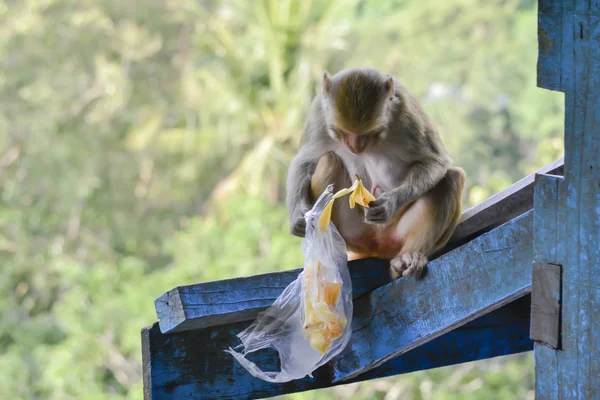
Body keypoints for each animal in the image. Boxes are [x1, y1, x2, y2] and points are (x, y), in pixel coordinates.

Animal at [284, 67, 464, 280]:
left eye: (370, 134)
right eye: (341, 132)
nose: (355, 147)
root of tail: (378, 247)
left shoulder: (408, 114)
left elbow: (435, 161)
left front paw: (389, 204)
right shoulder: (318, 114)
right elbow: (304, 161)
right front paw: (298, 215)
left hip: (396, 234)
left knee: (451, 179)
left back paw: (408, 258)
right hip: (356, 235)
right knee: (328, 160)